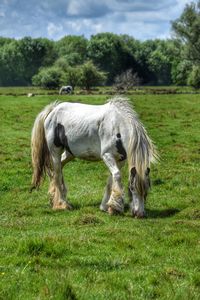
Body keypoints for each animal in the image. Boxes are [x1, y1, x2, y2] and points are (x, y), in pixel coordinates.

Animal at [30, 97, 158, 217]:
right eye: (132, 188)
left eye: (147, 189)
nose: (139, 214)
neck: (117, 125)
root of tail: (53, 109)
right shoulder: (107, 155)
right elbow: (116, 175)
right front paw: (115, 208)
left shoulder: (121, 160)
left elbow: (111, 179)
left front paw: (105, 207)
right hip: (55, 152)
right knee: (57, 174)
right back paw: (62, 204)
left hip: (69, 153)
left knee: (57, 170)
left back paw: (54, 197)